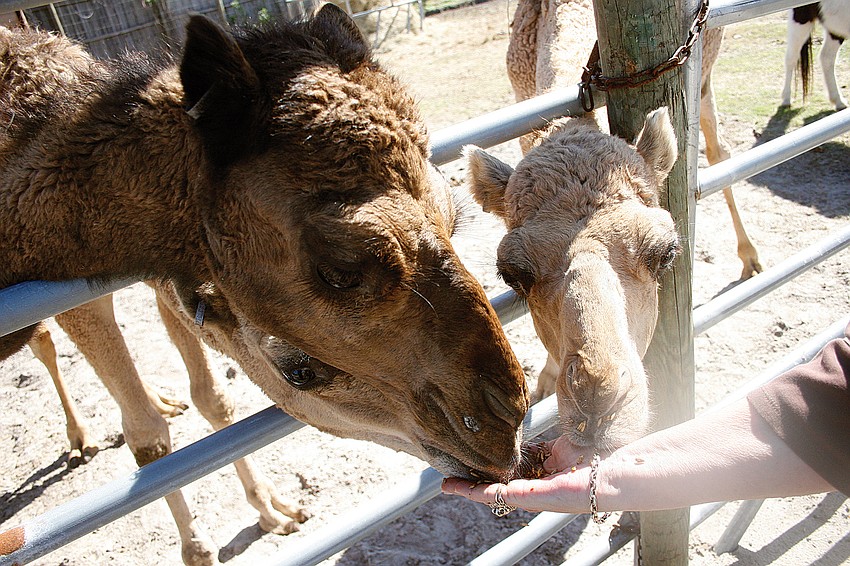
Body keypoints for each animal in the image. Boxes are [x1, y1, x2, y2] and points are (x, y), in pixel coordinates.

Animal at [0, 7, 530, 564]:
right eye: (342, 268)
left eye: (453, 216)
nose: (507, 422)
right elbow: (149, 438)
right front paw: (200, 548)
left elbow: (212, 397)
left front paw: (274, 510)